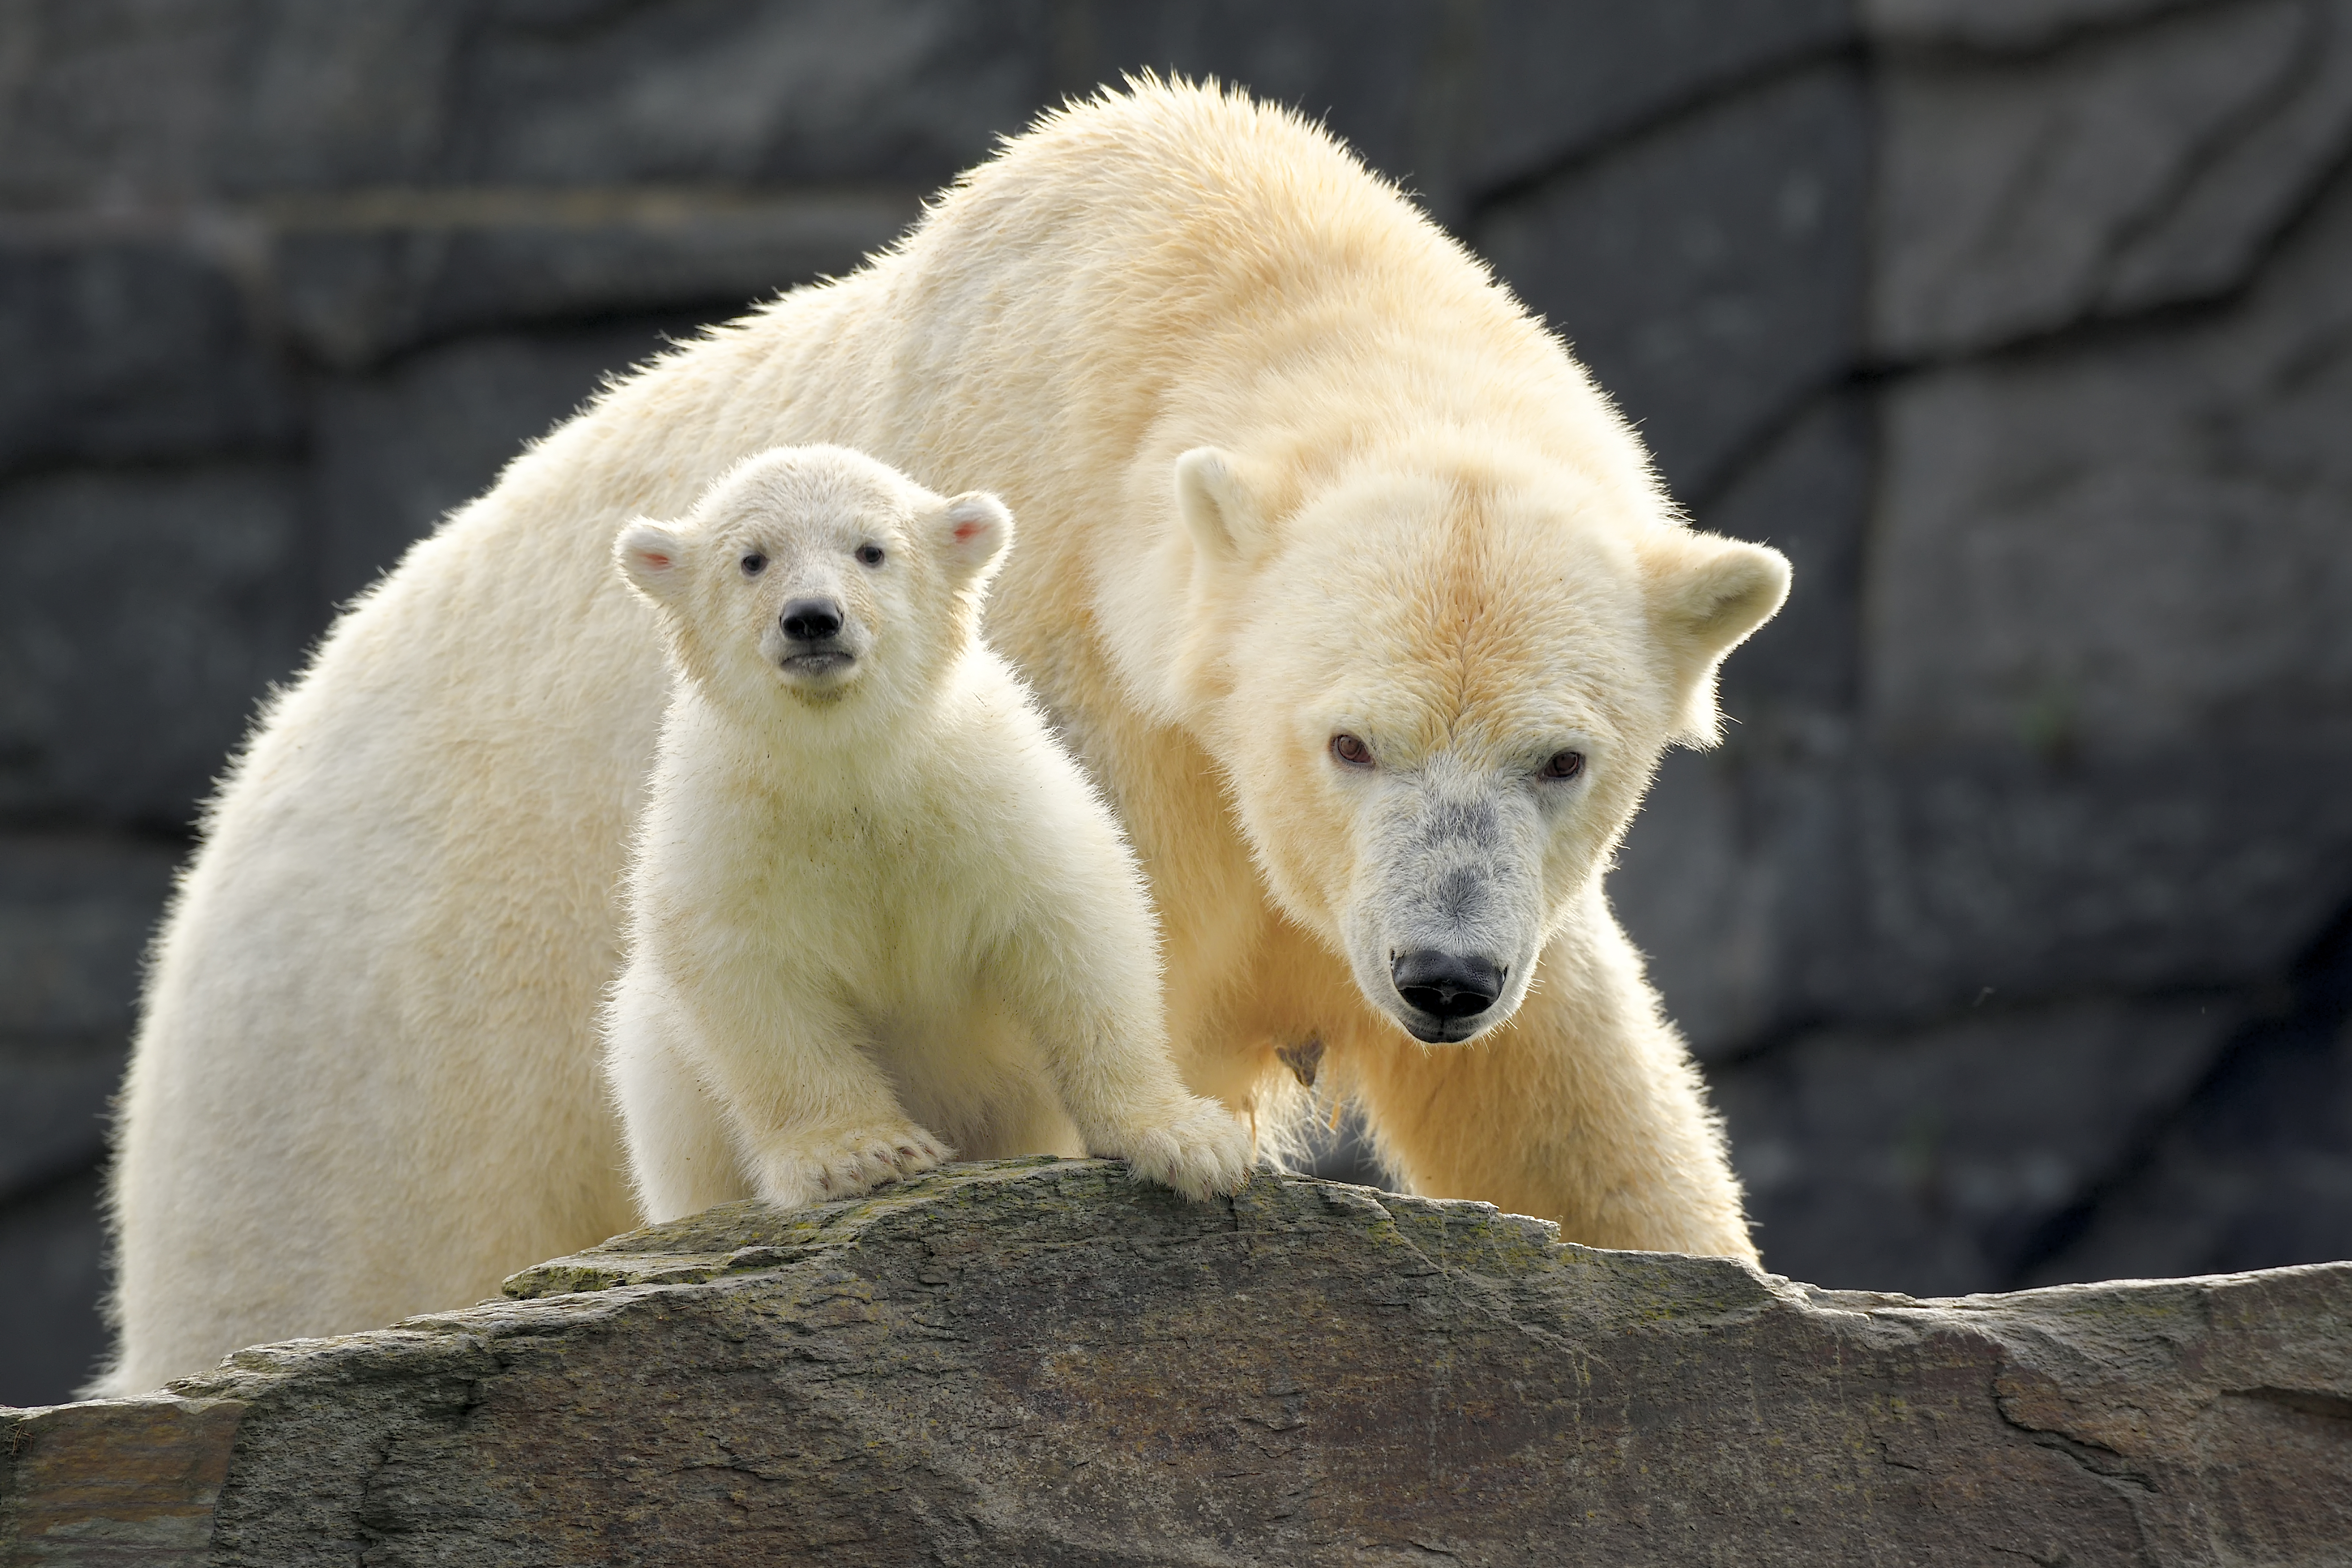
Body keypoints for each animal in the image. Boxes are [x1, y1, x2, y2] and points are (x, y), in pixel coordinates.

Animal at [96, 80, 1778, 1392]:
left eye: (1563, 759)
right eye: (1346, 741)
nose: (1440, 978)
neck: (1193, 270)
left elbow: (1567, 1098)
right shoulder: (1057, 706)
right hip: (348, 1118)